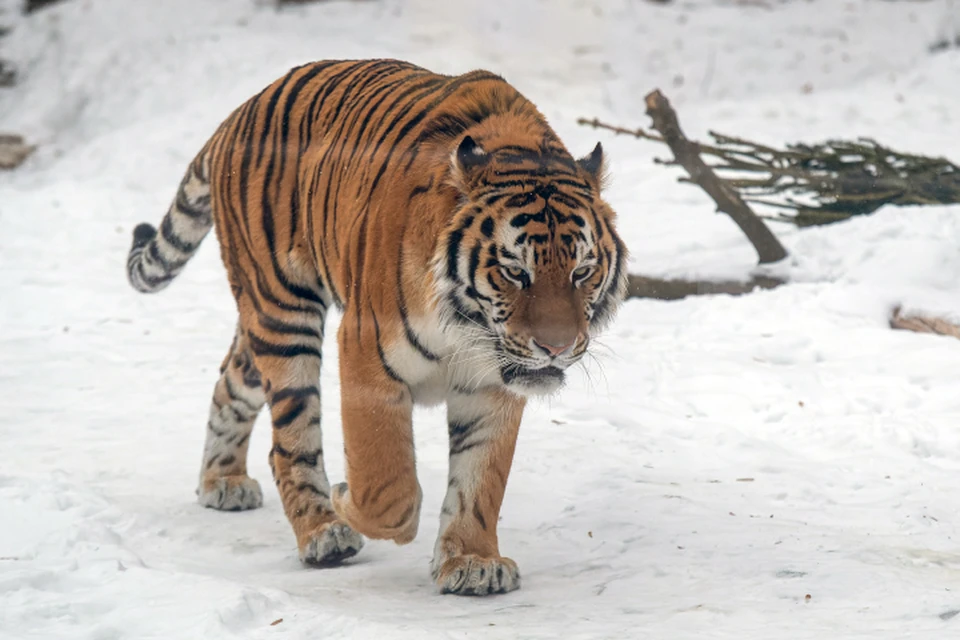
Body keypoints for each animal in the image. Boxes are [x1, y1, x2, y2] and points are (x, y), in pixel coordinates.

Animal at [124, 57, 628, 596]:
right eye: (515, 271)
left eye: (582, 271)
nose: (557, 347)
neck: (467, 327)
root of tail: (239, 112)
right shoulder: (367, 351)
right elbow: (386, 482)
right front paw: (351, 499)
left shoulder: (491, 384)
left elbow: (480, 479)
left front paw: (472, 561)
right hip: (283, 315)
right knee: (290, 441)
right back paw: (324, 532)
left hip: (262, 327)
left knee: (230, 380)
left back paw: (222, 482)